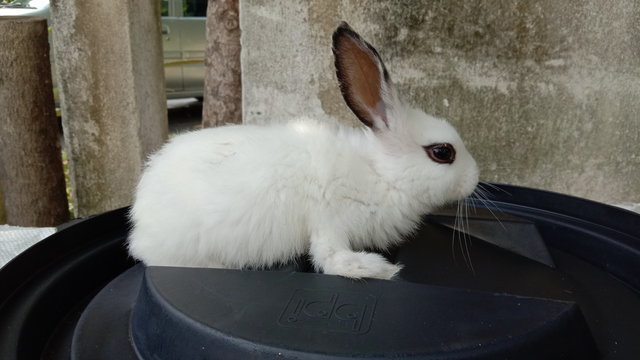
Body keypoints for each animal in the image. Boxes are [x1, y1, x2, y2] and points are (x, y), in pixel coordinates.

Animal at [127, 22, 478, 280]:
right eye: (443, 152)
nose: (476, 177)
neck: (381, 173)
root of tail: (140, 223)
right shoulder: (331, 222)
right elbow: (332, 259)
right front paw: (379, 269)